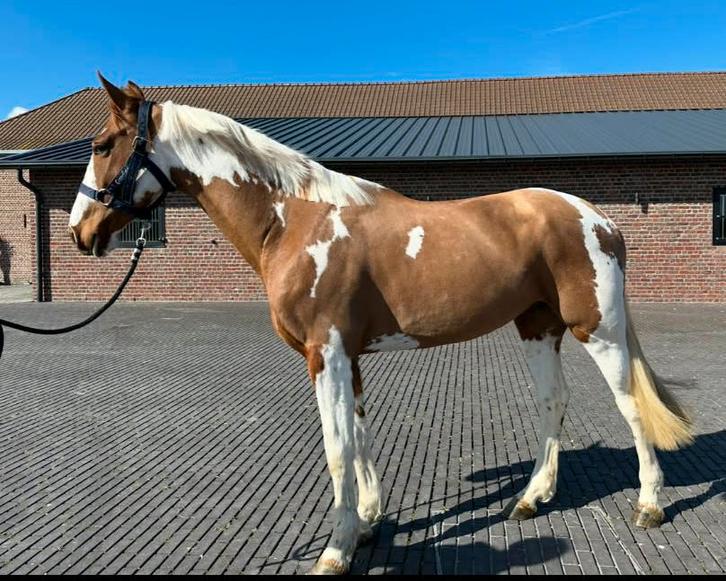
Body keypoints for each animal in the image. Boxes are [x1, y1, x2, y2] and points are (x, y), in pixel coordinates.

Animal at [68, 76, 693, 575]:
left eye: (102, 146)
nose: (80, 232)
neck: (293, 220)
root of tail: (600, 218)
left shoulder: (325, 354)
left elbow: (336, 446)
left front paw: (336, 549)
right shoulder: (346, 357)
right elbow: (360, 436)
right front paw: (368, 522)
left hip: (598, 330)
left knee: (630, 404)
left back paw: (649, 504)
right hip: (537, 327)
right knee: (553, 401)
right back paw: (532, 497)